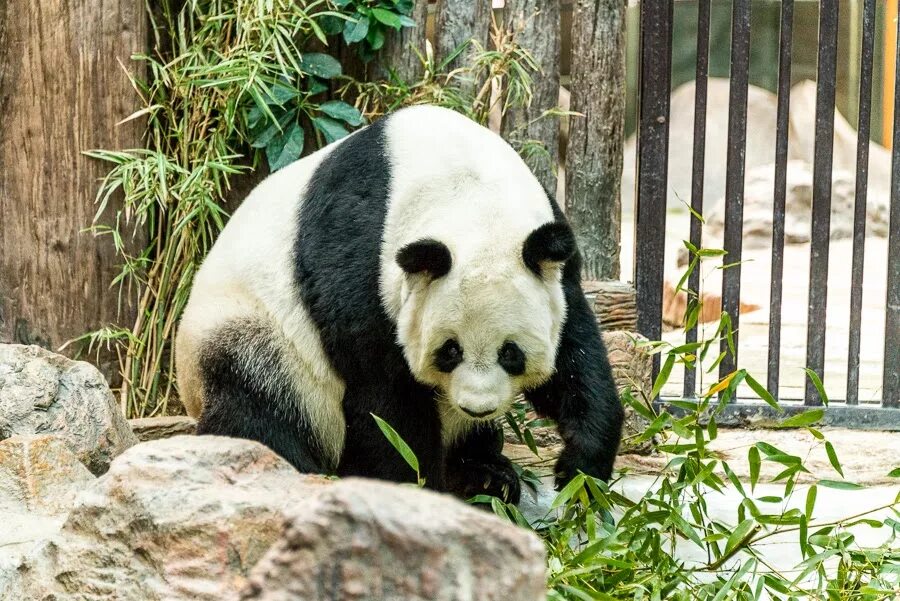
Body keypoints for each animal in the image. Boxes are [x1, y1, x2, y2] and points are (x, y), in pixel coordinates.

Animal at [176, 104, 624, 502]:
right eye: (450, 351)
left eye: (511, 353)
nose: (477, 407)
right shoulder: (358, 266)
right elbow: (385, 401)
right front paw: (417, 490)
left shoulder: (554, 259)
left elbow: (575, 352)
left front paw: (581, 470)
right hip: (258, 339)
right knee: (260, 409)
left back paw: (485, 474)